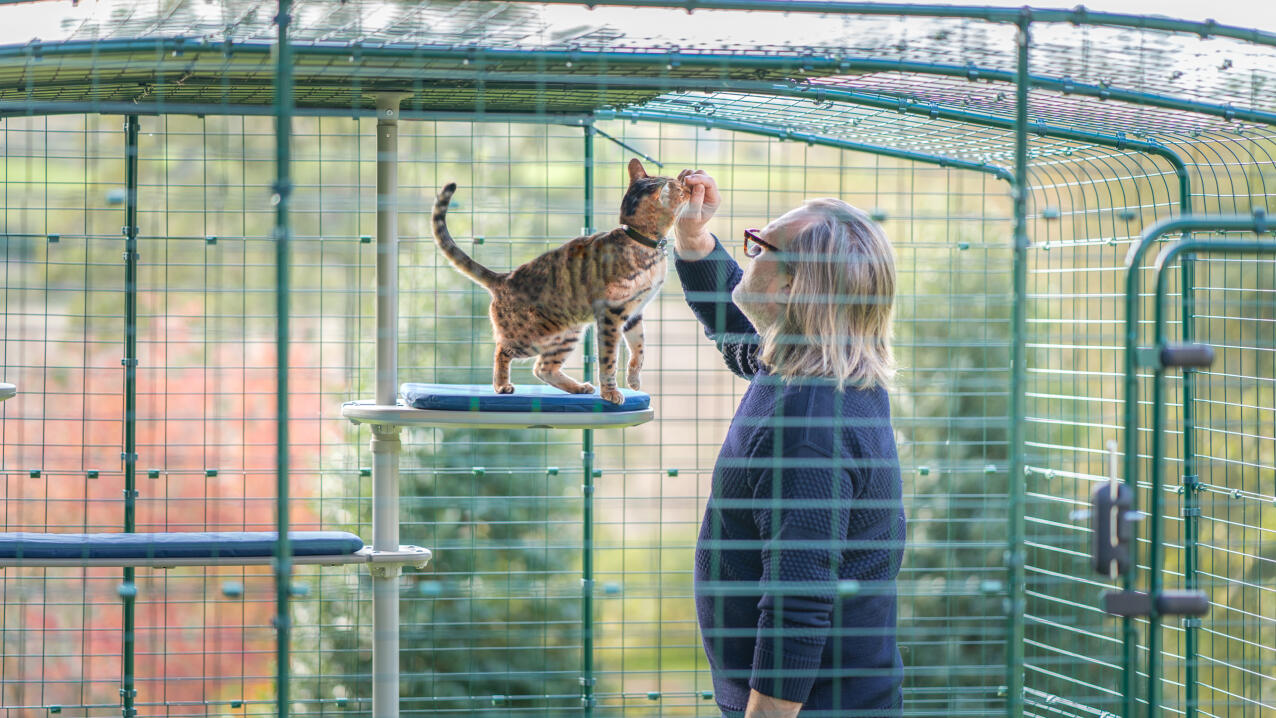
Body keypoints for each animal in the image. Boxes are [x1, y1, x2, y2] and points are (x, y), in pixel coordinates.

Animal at [431, 158, 689, 405]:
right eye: (679, 189)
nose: (686, 185)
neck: (639, 240)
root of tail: (503, 278)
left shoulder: (634, 313)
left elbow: (639, 348)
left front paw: (634, 379)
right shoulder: (611, 315)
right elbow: (608, 360)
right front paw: (610, 393)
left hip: (567, 333)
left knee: (543, 368)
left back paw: (578, 388)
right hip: (531, 335)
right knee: (502, 349)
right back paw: (502, 385)